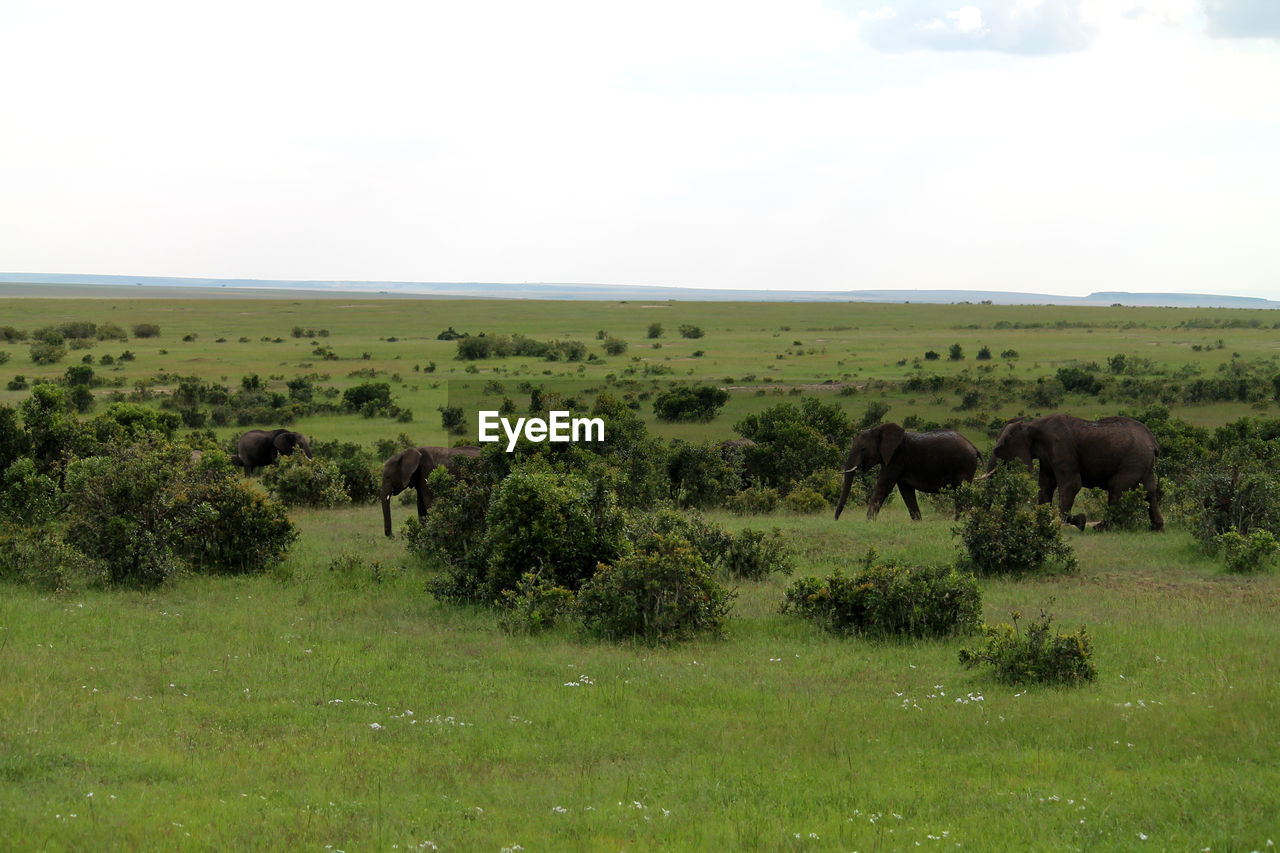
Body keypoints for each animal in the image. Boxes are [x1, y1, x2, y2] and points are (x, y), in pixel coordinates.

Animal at [839, 420, 977, 517]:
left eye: (863, 449)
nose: (836, 519)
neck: (878, 430)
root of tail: (974, 447)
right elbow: (906, 491)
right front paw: (918, 522)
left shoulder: (897, 457)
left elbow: (883, 485)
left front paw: (868, 521)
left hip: (965, 465)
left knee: (960, 492)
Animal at [983, 412, 1167, 527]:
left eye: (1000, 447)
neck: (1031, 425)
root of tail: (1154, 442)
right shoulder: (1047, 458)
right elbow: (1046, 486)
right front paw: (1043, 519)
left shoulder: (1061, 447)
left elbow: (1071, 484)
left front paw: (1078, 521)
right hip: (1144, 463)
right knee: (1149, 492)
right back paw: (1157, 528)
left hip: (1132, 462)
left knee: (1117, 489)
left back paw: (1102, 527)